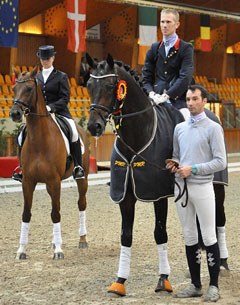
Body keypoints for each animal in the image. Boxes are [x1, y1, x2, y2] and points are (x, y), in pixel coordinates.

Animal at [9, 66, 89, 258]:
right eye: (14, 89)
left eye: (29, 89)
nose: (14, 114)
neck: (39, 140)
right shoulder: (28, 182)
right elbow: (26, 214)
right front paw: (21, 250)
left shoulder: (54, 181)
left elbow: (55, 214)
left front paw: (59, 250)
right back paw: (54, 242)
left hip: (82, 178)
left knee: (81, 204)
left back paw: (82, 240)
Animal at [86, 54, 184, 294]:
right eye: (89, 85)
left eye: (110, 86)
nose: (93, 126)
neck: (137, 136)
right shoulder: (125, 196)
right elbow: (126, 236)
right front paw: (119, 281)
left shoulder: (158, 195)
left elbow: (160, 233)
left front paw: (164, 280)